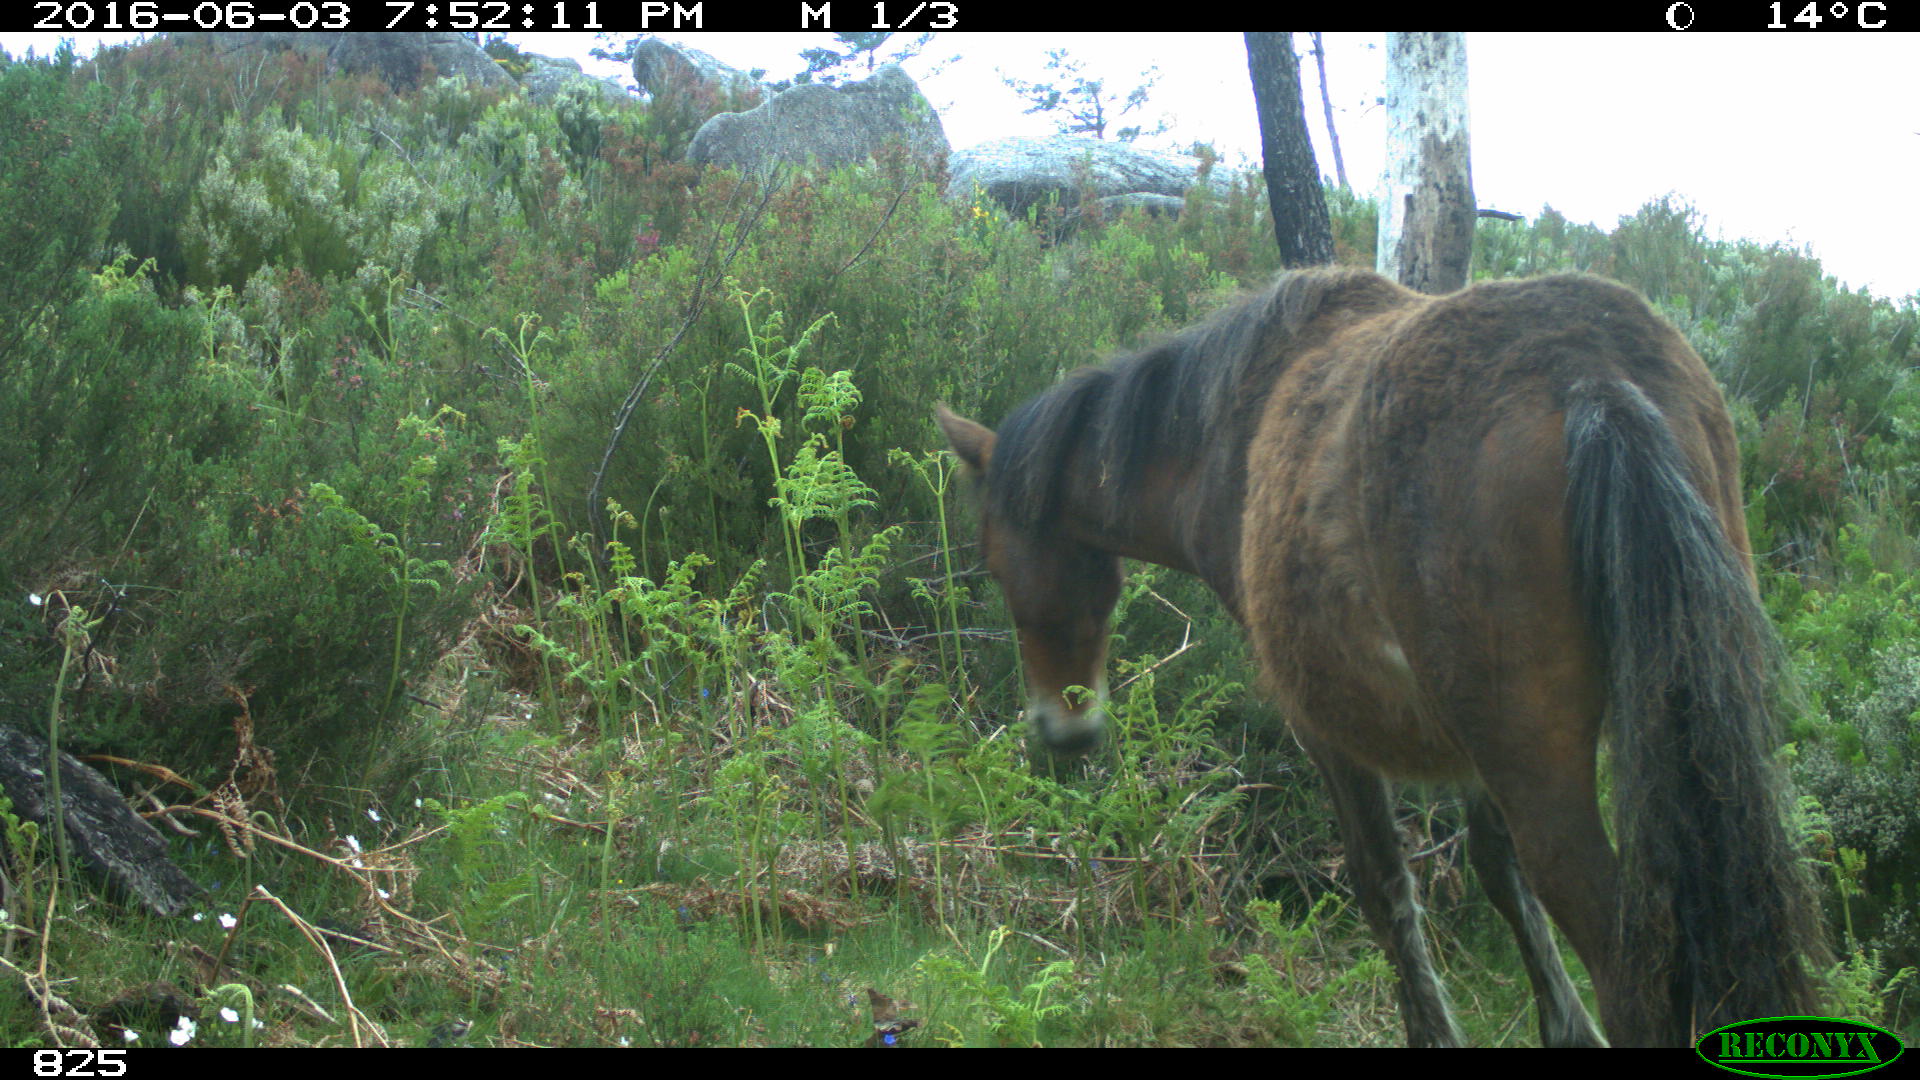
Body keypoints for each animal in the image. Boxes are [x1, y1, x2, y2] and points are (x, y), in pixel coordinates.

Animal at [935, 267, 1825, 1047]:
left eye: (994, 563)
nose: (1062, 731)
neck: (1226, 438)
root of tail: (1591, 380)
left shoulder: (1328, 726)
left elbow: (1384, 887)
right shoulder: (1472, 748)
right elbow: (1496, 871)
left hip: (1542, 766)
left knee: (1626, 961)